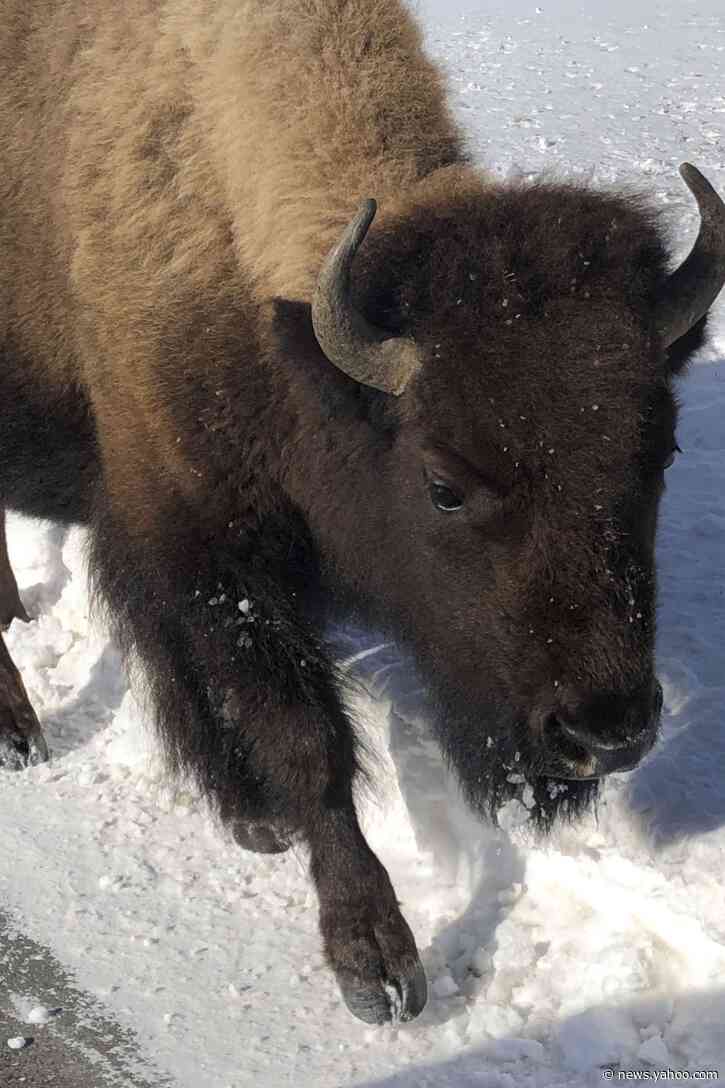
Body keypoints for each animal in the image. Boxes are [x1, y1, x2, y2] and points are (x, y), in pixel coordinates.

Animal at [1, 0, 724, 1025]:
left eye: (659, 453)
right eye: (442, 483)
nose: (605, 734)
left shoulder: (171, 545)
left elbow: (185, 667)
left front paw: (249, 817)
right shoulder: (203, 545)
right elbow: (308, 741)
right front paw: (376, 964)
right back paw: (16, 734)